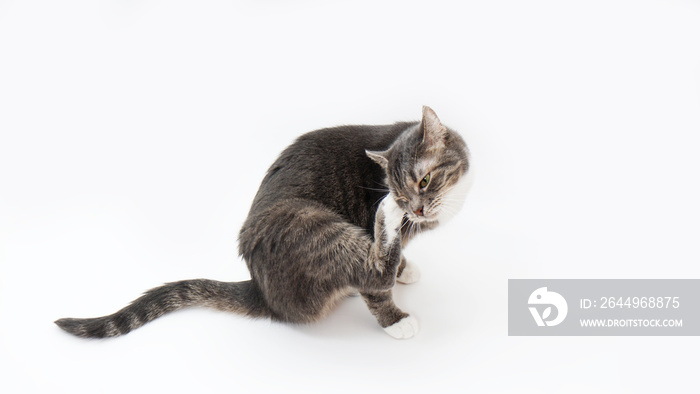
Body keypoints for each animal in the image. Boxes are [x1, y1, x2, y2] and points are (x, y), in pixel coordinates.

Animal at [54, 105, 470, 338]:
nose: (411, 209)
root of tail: (262, 291)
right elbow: (378, 290)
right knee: (369, 269)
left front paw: (405, 266)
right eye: (398, 191)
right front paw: (395, 319)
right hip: (309, 222)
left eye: (424, 181)